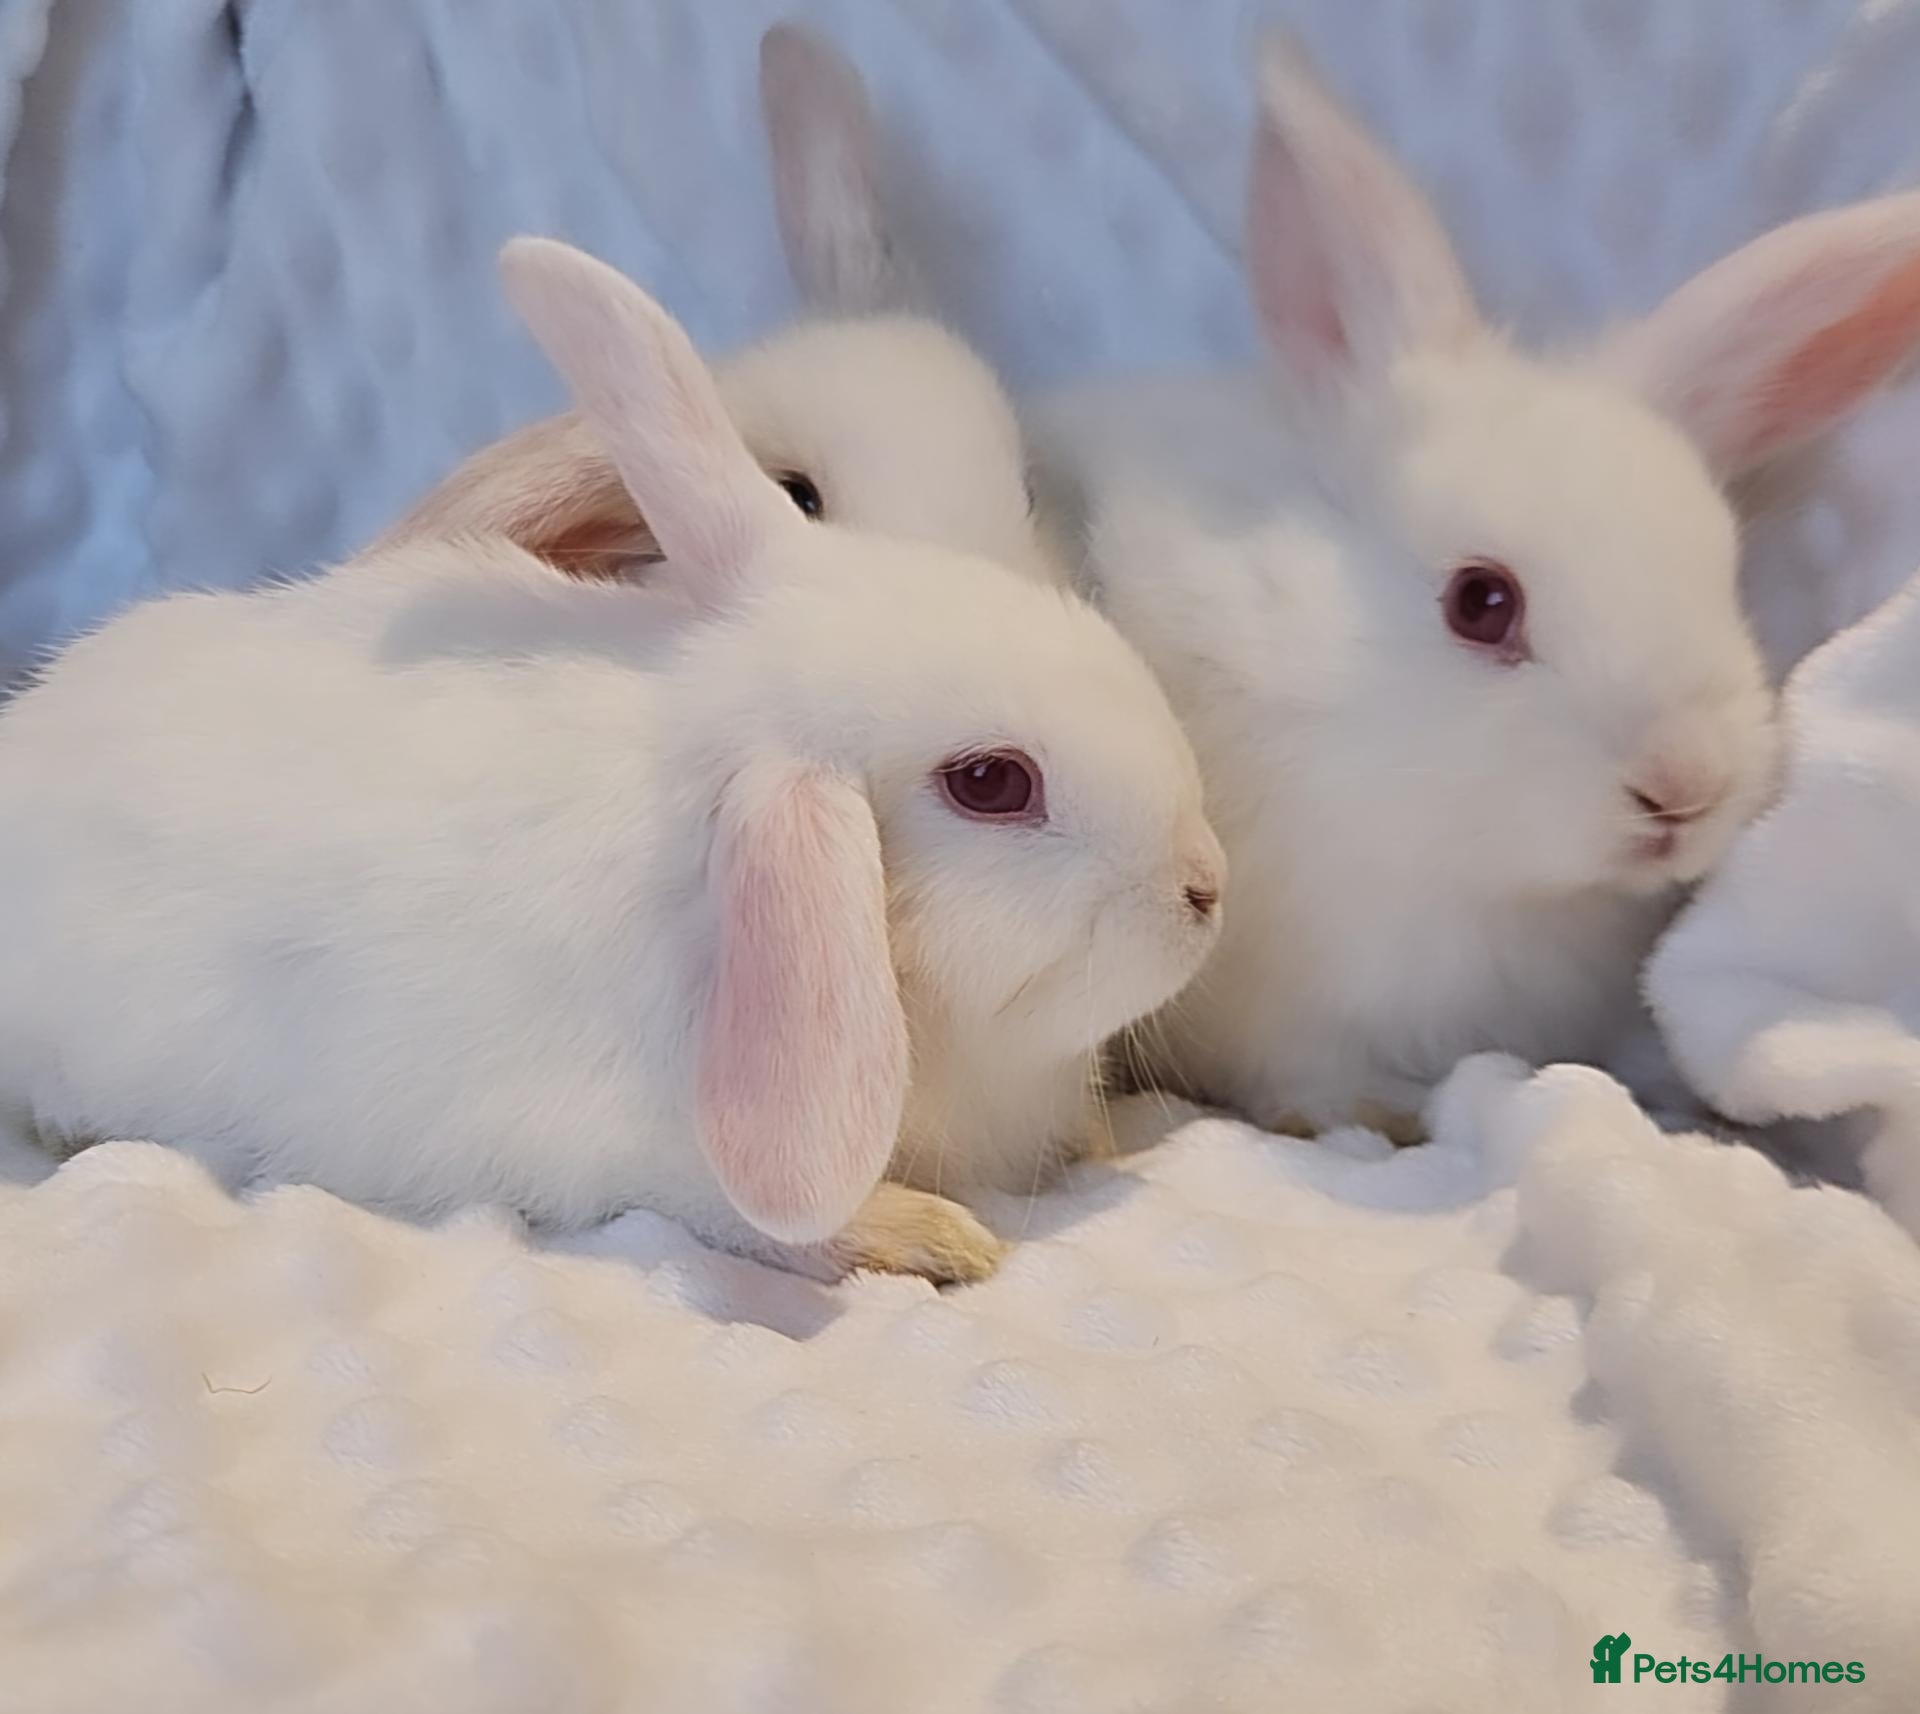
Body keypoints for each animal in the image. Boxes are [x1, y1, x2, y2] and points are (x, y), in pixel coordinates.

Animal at [0, 238, 1225, 1285]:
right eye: (991, 784)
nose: (1207, 889)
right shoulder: (645, 1152)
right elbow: (771, 1217)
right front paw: (938, 1238)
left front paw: (1097, 1142)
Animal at [1022, 38, 1920, 1140]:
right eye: (1482, 603)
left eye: (1725, 575)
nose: (1683, 789)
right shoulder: (1280, 1004)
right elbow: (1312, 1076)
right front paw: (1384, 1116)